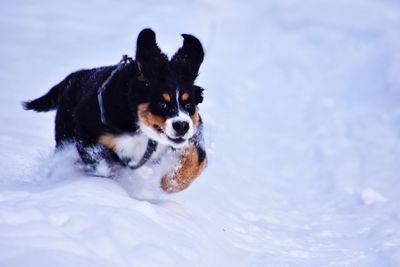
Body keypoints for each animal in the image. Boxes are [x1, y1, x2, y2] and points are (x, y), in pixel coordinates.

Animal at [23, 28, 206, 194]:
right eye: (162, 104)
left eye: (188, 105)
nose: (181, 126)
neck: (141, 128)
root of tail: (75, 76)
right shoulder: (85, 129)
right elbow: (100, 164)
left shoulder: (193, 130)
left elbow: (198, 159)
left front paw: (171, 182)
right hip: (64, 136)